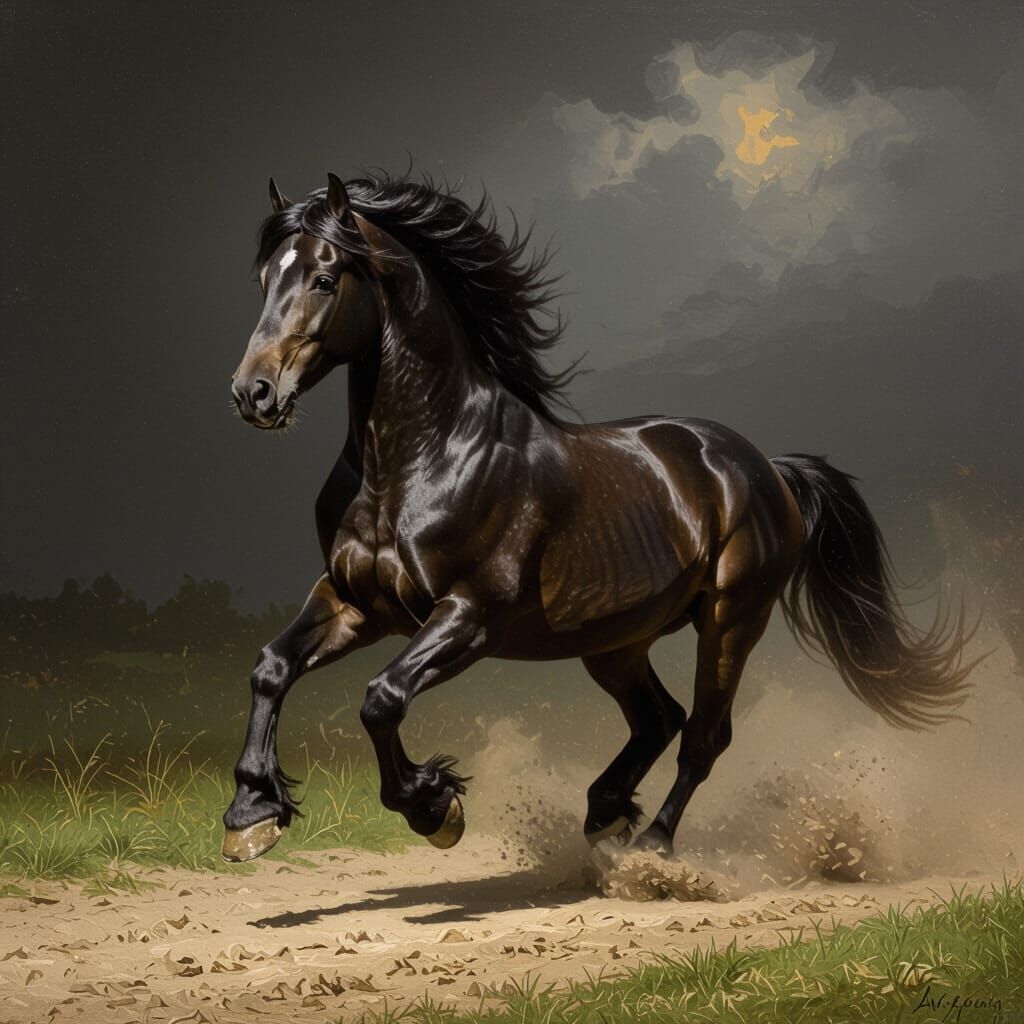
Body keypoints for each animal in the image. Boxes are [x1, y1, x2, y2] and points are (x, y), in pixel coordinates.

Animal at [222, 171, 975, 863]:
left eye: (324, 278)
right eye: (263, 279)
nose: (253, 393)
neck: (417, 462)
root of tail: (764, 466)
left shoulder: (470, 615)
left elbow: (382, 697)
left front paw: (433, 807)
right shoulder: (355, 603)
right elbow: (272, 667)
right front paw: (251, 814)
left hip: (732, 619)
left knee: (703, 736)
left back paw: (653, 851)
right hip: (615, 641)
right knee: (659, 718)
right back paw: (605, 811)